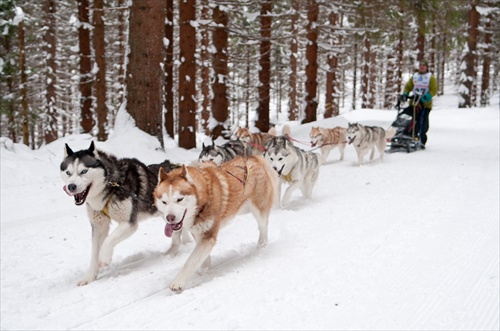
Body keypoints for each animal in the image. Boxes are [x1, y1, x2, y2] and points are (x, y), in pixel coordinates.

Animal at [60, 141, 172, 286]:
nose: (71, 186)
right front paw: (89, 276)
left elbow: (109, 240)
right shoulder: (98, 226)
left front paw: (104, 258)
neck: (111, 185)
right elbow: (94, 253)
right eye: (68, 172)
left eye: (84, 171)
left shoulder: (129, 223)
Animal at [154, 156, 280, 294]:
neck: (203, 198)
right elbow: (201, 257)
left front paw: (178, 282)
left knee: (263, 226)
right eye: (164, 202)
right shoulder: (198, 232)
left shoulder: (208, 235)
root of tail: (254, 158)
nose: (169, 218)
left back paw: (262, 245)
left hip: (258, 209)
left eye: (179, 199)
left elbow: (191, 261)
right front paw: (205, 269)